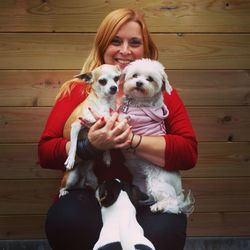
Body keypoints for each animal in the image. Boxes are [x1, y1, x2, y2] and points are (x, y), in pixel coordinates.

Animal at [58, 64, 121, 197]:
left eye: (117, 78)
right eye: (102, 81)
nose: (114, 87)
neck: (104, 103)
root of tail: (82, 182)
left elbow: (107, 144)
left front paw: (107, 157)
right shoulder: (76, 126)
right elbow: (74, 145)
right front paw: (70, 159)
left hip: (93, 180)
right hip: (70, 177)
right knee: (62, 186)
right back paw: (63, 191)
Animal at [120, 58, 194, 215]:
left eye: (150, 79)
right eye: (135, 75)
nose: (139, 83)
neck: (138, 103)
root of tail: (178, 190)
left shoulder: (131, 120)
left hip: (157, 183)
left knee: (173, 203)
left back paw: (159, 206)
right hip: (141, 184)